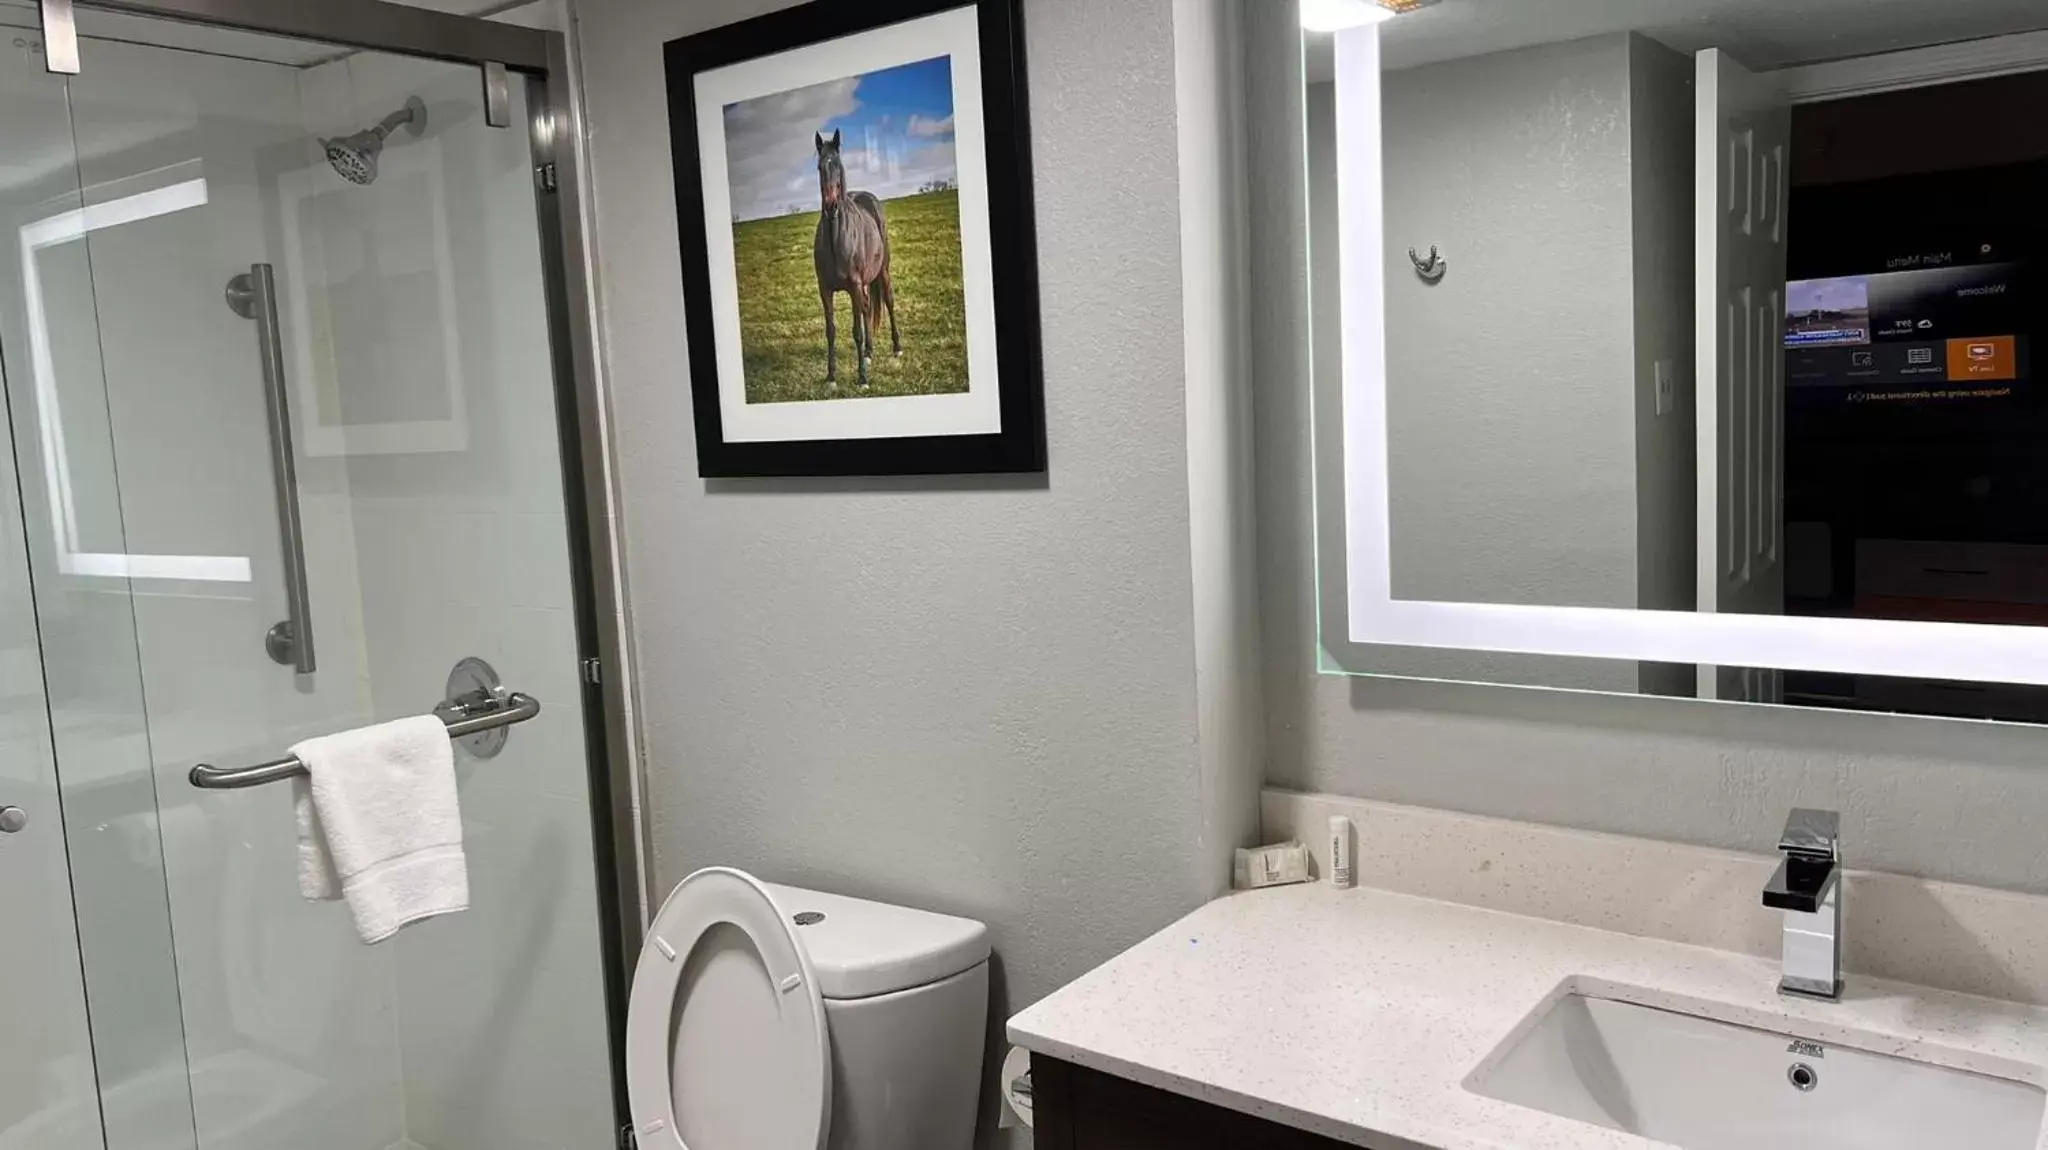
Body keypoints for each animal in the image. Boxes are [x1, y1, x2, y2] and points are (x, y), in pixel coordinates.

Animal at [811, 128, 901, 388]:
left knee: (888, 302)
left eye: (837, 165)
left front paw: (861, 378)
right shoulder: (825, 289)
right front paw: (831, 376)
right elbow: (831, 330)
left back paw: (897, 347)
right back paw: (869, 353)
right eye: (820, 167)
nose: (831, 206)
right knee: (868, 308)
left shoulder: (853, 286)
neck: (836, 238)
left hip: (882, 272)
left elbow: (857, 331)